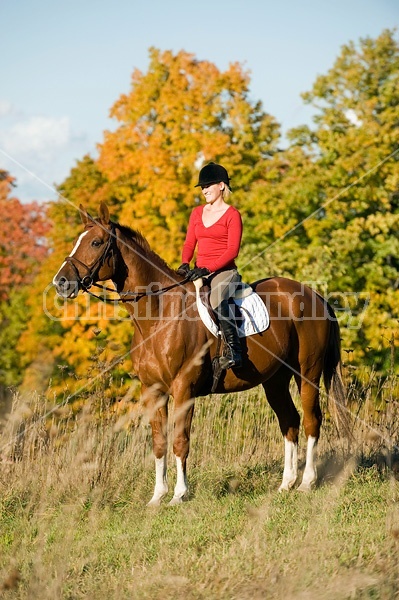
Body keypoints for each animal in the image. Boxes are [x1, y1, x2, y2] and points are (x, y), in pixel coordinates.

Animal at [53, 204, 346, 504]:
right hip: (274, 380)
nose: (61, 282)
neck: (159, 315)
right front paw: (157, 496)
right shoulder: (152, 391)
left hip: (307, 374)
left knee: (312, 420)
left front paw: (179, 494)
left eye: (96, 242)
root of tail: (315, 296)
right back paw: (286, 483)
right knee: (290, 421)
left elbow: (180, 441)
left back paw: (306, 482)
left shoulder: (184, 388)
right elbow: (159, 443)